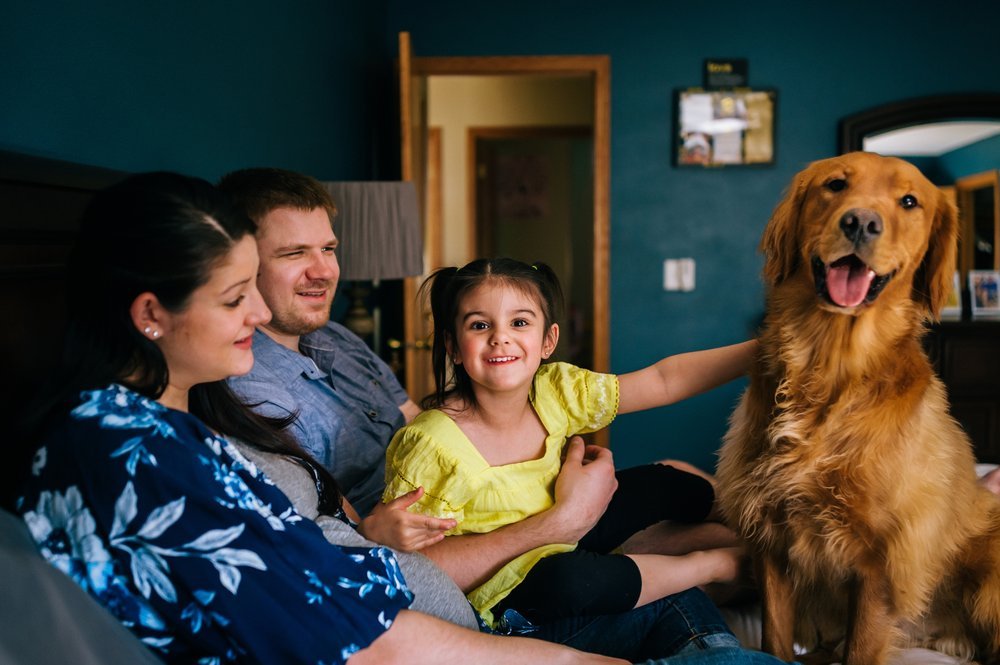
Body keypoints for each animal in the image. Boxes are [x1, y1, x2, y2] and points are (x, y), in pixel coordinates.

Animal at [720, 152, 1000, 664]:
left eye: (909, 201)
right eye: (835, 185)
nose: (861, 222)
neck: (828, 363)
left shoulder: (879, 565)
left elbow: (861, 647)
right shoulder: (770, 542)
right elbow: (775, 640)